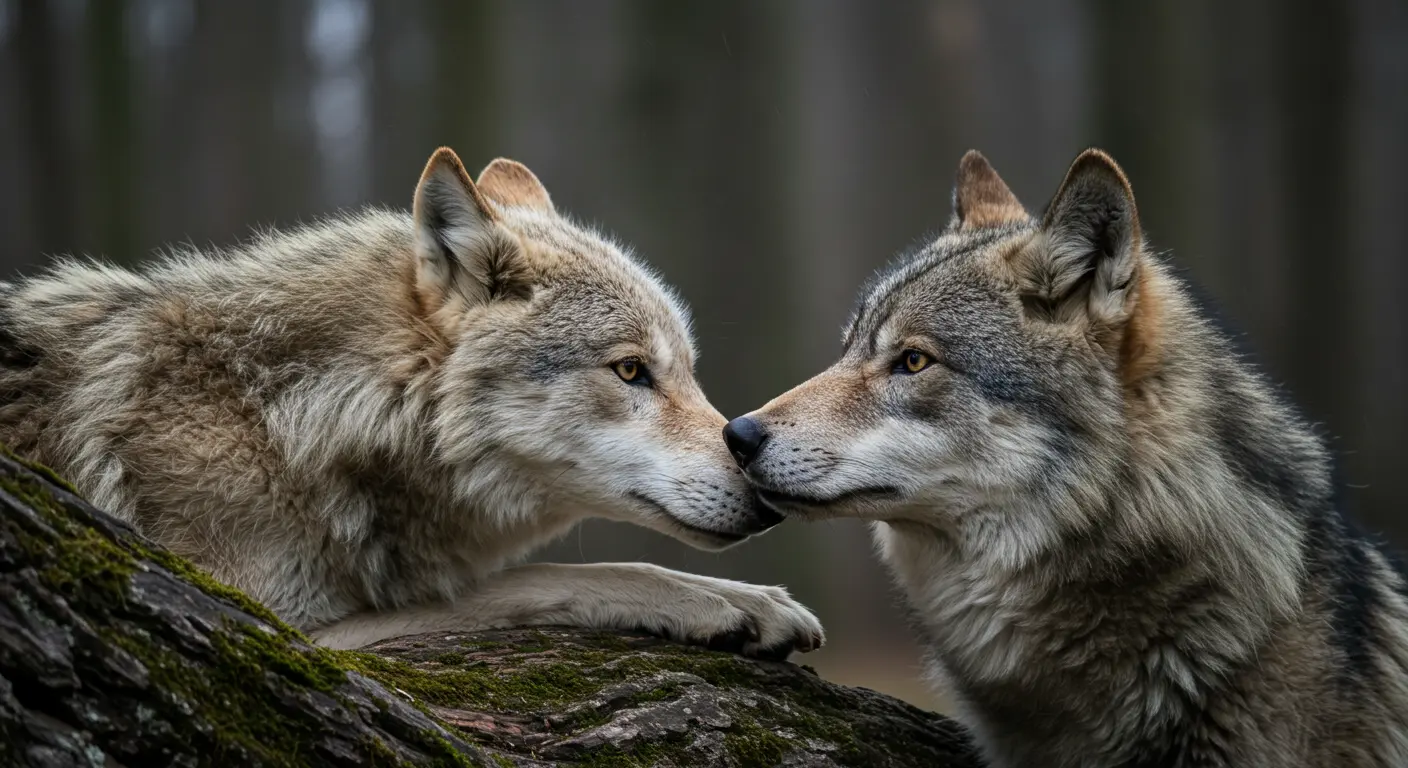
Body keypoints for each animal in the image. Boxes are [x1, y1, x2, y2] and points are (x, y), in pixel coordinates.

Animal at [0, 146, 823, 659]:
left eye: (687, 373)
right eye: (629, 371)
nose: (766, 493)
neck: (285, 421)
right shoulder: (277, 628)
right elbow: (557, 578)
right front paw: (732, 603)